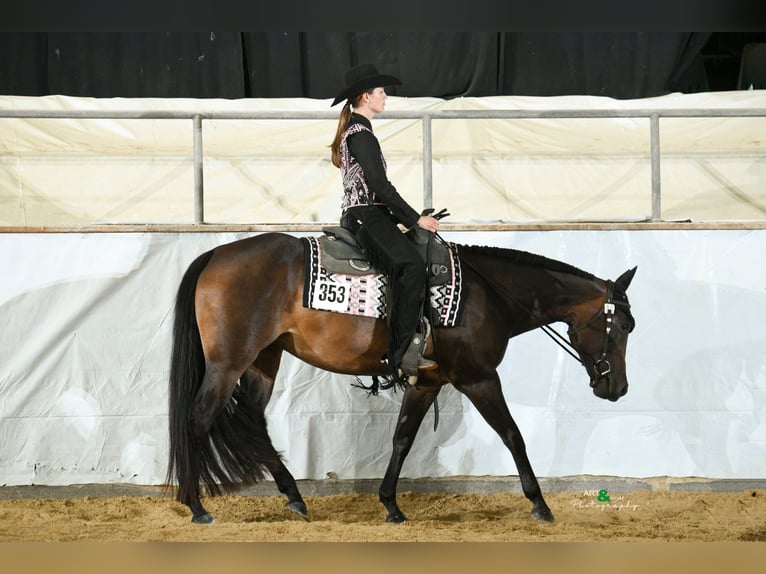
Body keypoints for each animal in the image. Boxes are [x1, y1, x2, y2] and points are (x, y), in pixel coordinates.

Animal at [166, 231, 637, 524]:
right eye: (624, 326)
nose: (618, 388)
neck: (487, 294)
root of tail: (215, 255)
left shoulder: (428, 381)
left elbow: (402, 439)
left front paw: (390, 505)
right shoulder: (478, 377)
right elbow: (513, 435)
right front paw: (539, 504)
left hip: (264, 359)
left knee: (252, 421)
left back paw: (294, 497)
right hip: (228, 363)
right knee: (198, 419)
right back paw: (196, 505)